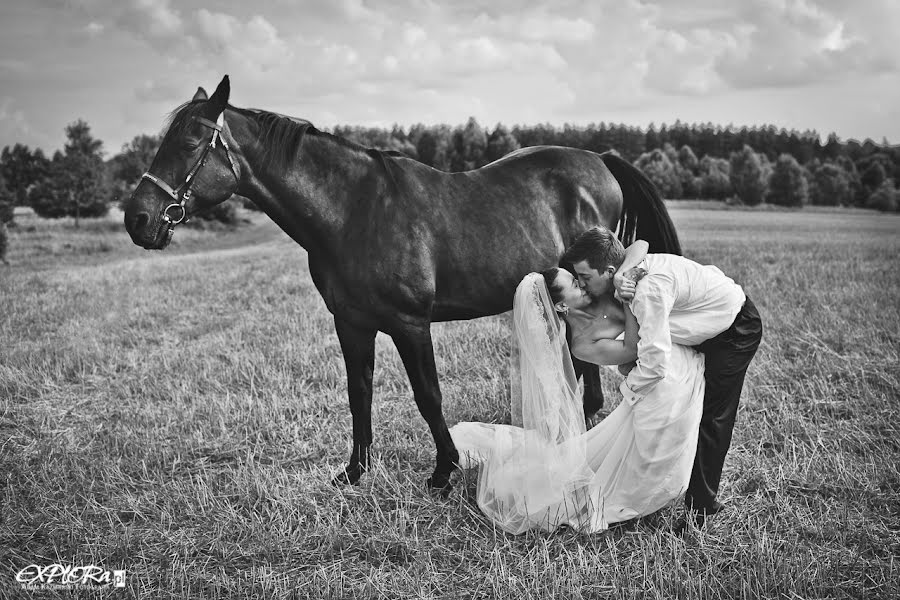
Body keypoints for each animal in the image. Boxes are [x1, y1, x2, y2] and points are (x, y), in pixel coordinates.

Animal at [123, 75, 680, 492]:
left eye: (190, 142)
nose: (138, 219)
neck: (354, 212)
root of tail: (599, 159)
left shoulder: (411, 325)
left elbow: (428, 395)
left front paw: (445, 471)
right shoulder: (351, 324)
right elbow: (359, 393)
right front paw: (354, 472)